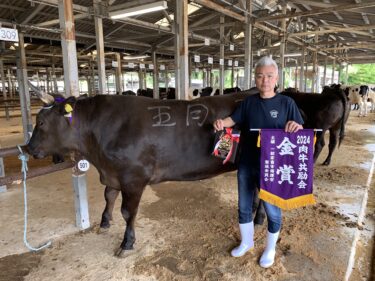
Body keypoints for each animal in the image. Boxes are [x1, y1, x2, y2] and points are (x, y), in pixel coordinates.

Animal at [26, 91, 253, 255]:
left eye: (41, 122)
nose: (28, 148)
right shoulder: (113, 173)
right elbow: (109, 195)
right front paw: (105, 222)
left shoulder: (133, 178)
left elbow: (128, 212)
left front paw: (127, 243)